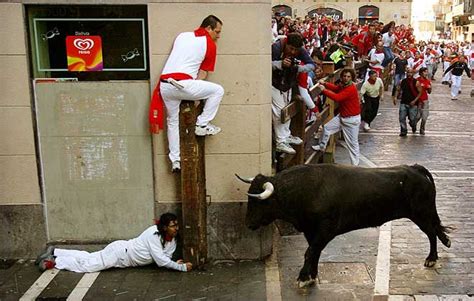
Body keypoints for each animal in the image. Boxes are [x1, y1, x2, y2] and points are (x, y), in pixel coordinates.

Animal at [237, 163, 452, 284]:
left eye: (260, 201)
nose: (248, 224)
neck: (306, 189)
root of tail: (414, 168)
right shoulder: (310, 230)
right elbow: (314, 251)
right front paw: (312, 275)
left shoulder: (325, 229)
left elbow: (310, 251)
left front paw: (303, 278)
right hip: (424, 213)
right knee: (435, 228)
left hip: (421, 214)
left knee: (431, 232)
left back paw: (431, 258)